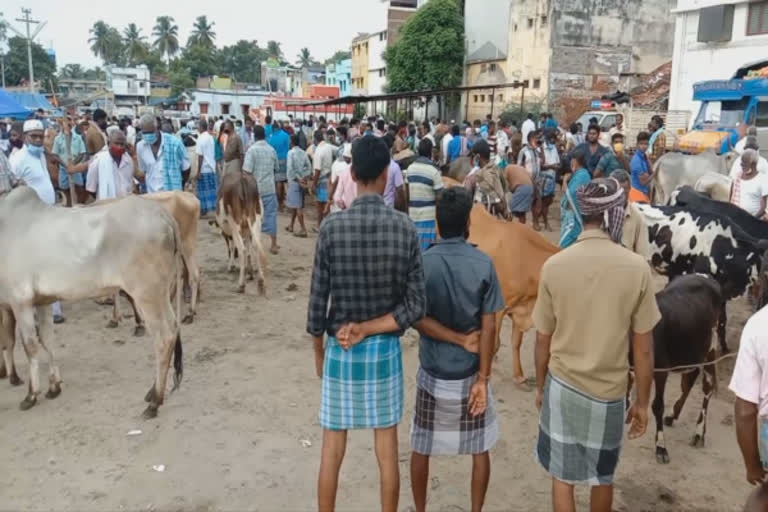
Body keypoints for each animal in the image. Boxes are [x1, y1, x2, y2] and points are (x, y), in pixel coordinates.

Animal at [0, 186, 184, 418]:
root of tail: (163, 216)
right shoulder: (42, 301)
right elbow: (47, 340)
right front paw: (54, 386)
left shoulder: (20, 301)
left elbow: (30, 346)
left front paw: (31, 395)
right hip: (160, 294)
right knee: (173, 327)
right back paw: (152, 392)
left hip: (147, 295)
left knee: (163, 337)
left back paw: (155, 402)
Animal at [632, 276, 724, 464]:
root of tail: (706, 277)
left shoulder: (661, 370)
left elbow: (657, 405)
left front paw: (661, 447)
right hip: (691, 352)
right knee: (689, 380)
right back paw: (673, 415)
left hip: (710, 346)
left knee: (707, 386)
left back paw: (698, 433)